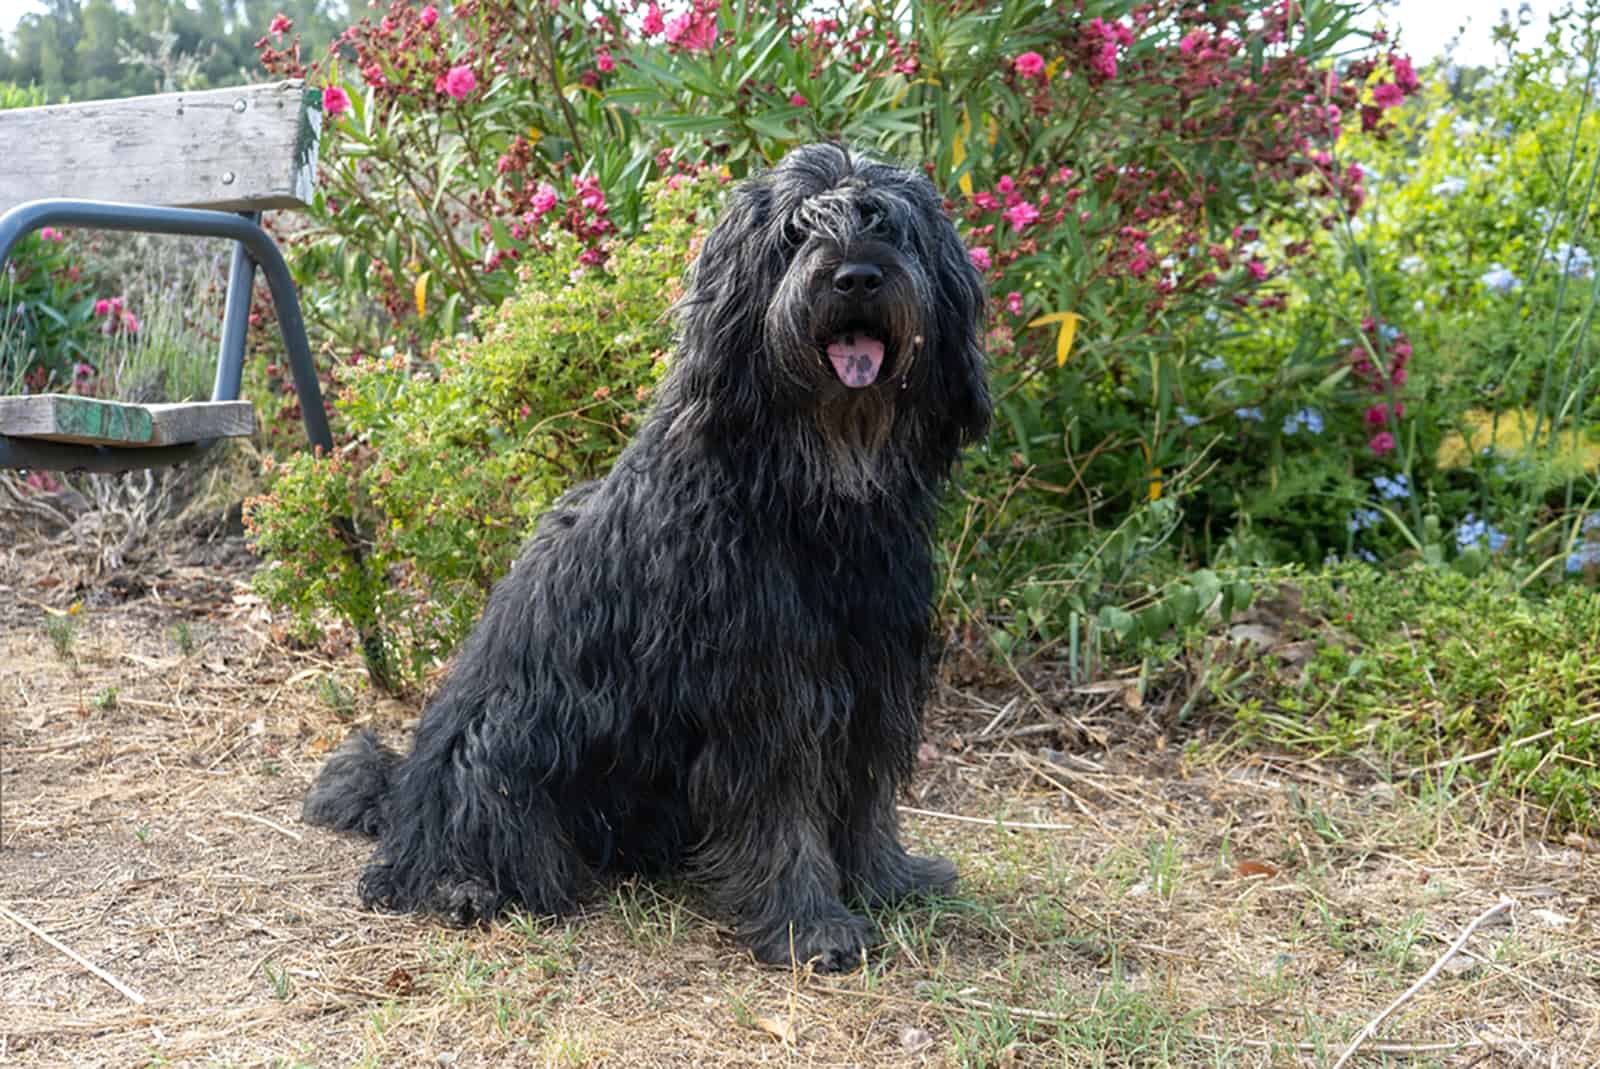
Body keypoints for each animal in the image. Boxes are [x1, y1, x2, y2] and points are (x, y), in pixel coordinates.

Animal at [302, 141, 985, 966]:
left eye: (887, 226)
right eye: (795, 234)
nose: (855, 275)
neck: (807, 482)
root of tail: (406, 787)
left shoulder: (872, 672)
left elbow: (863, 795)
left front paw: (888, 880)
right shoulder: (763, 691)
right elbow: (782, 811)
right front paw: (810, 923)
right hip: (505, 744)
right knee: (444, 844)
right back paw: (461, 885)